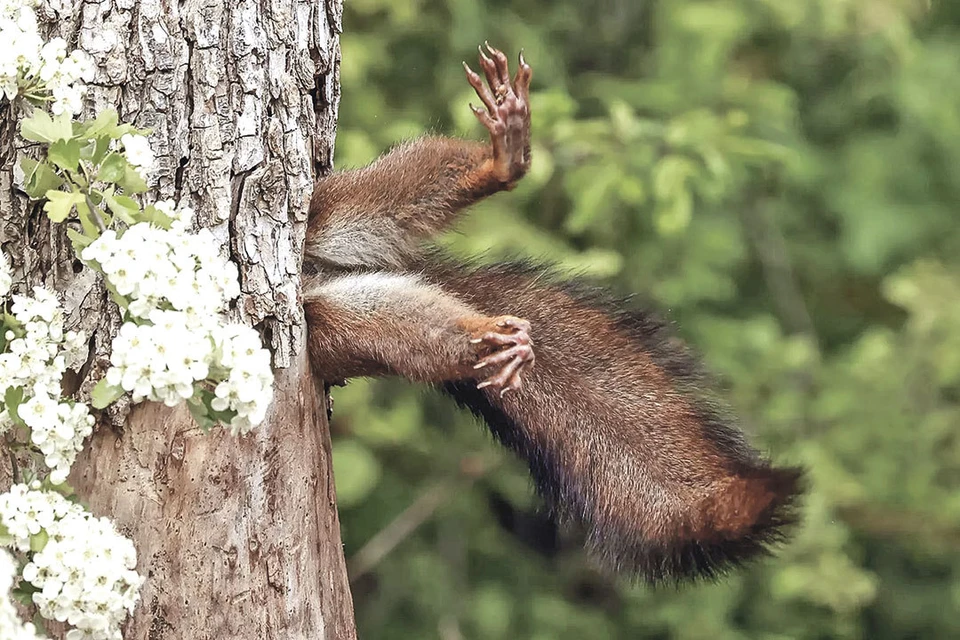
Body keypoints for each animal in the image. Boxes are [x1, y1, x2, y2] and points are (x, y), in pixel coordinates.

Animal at [302, 43, 804, 584]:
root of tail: (317, 274)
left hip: (328, 210)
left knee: (390, 194)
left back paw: (501, 165)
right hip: (332, 325)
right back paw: (490, 338)